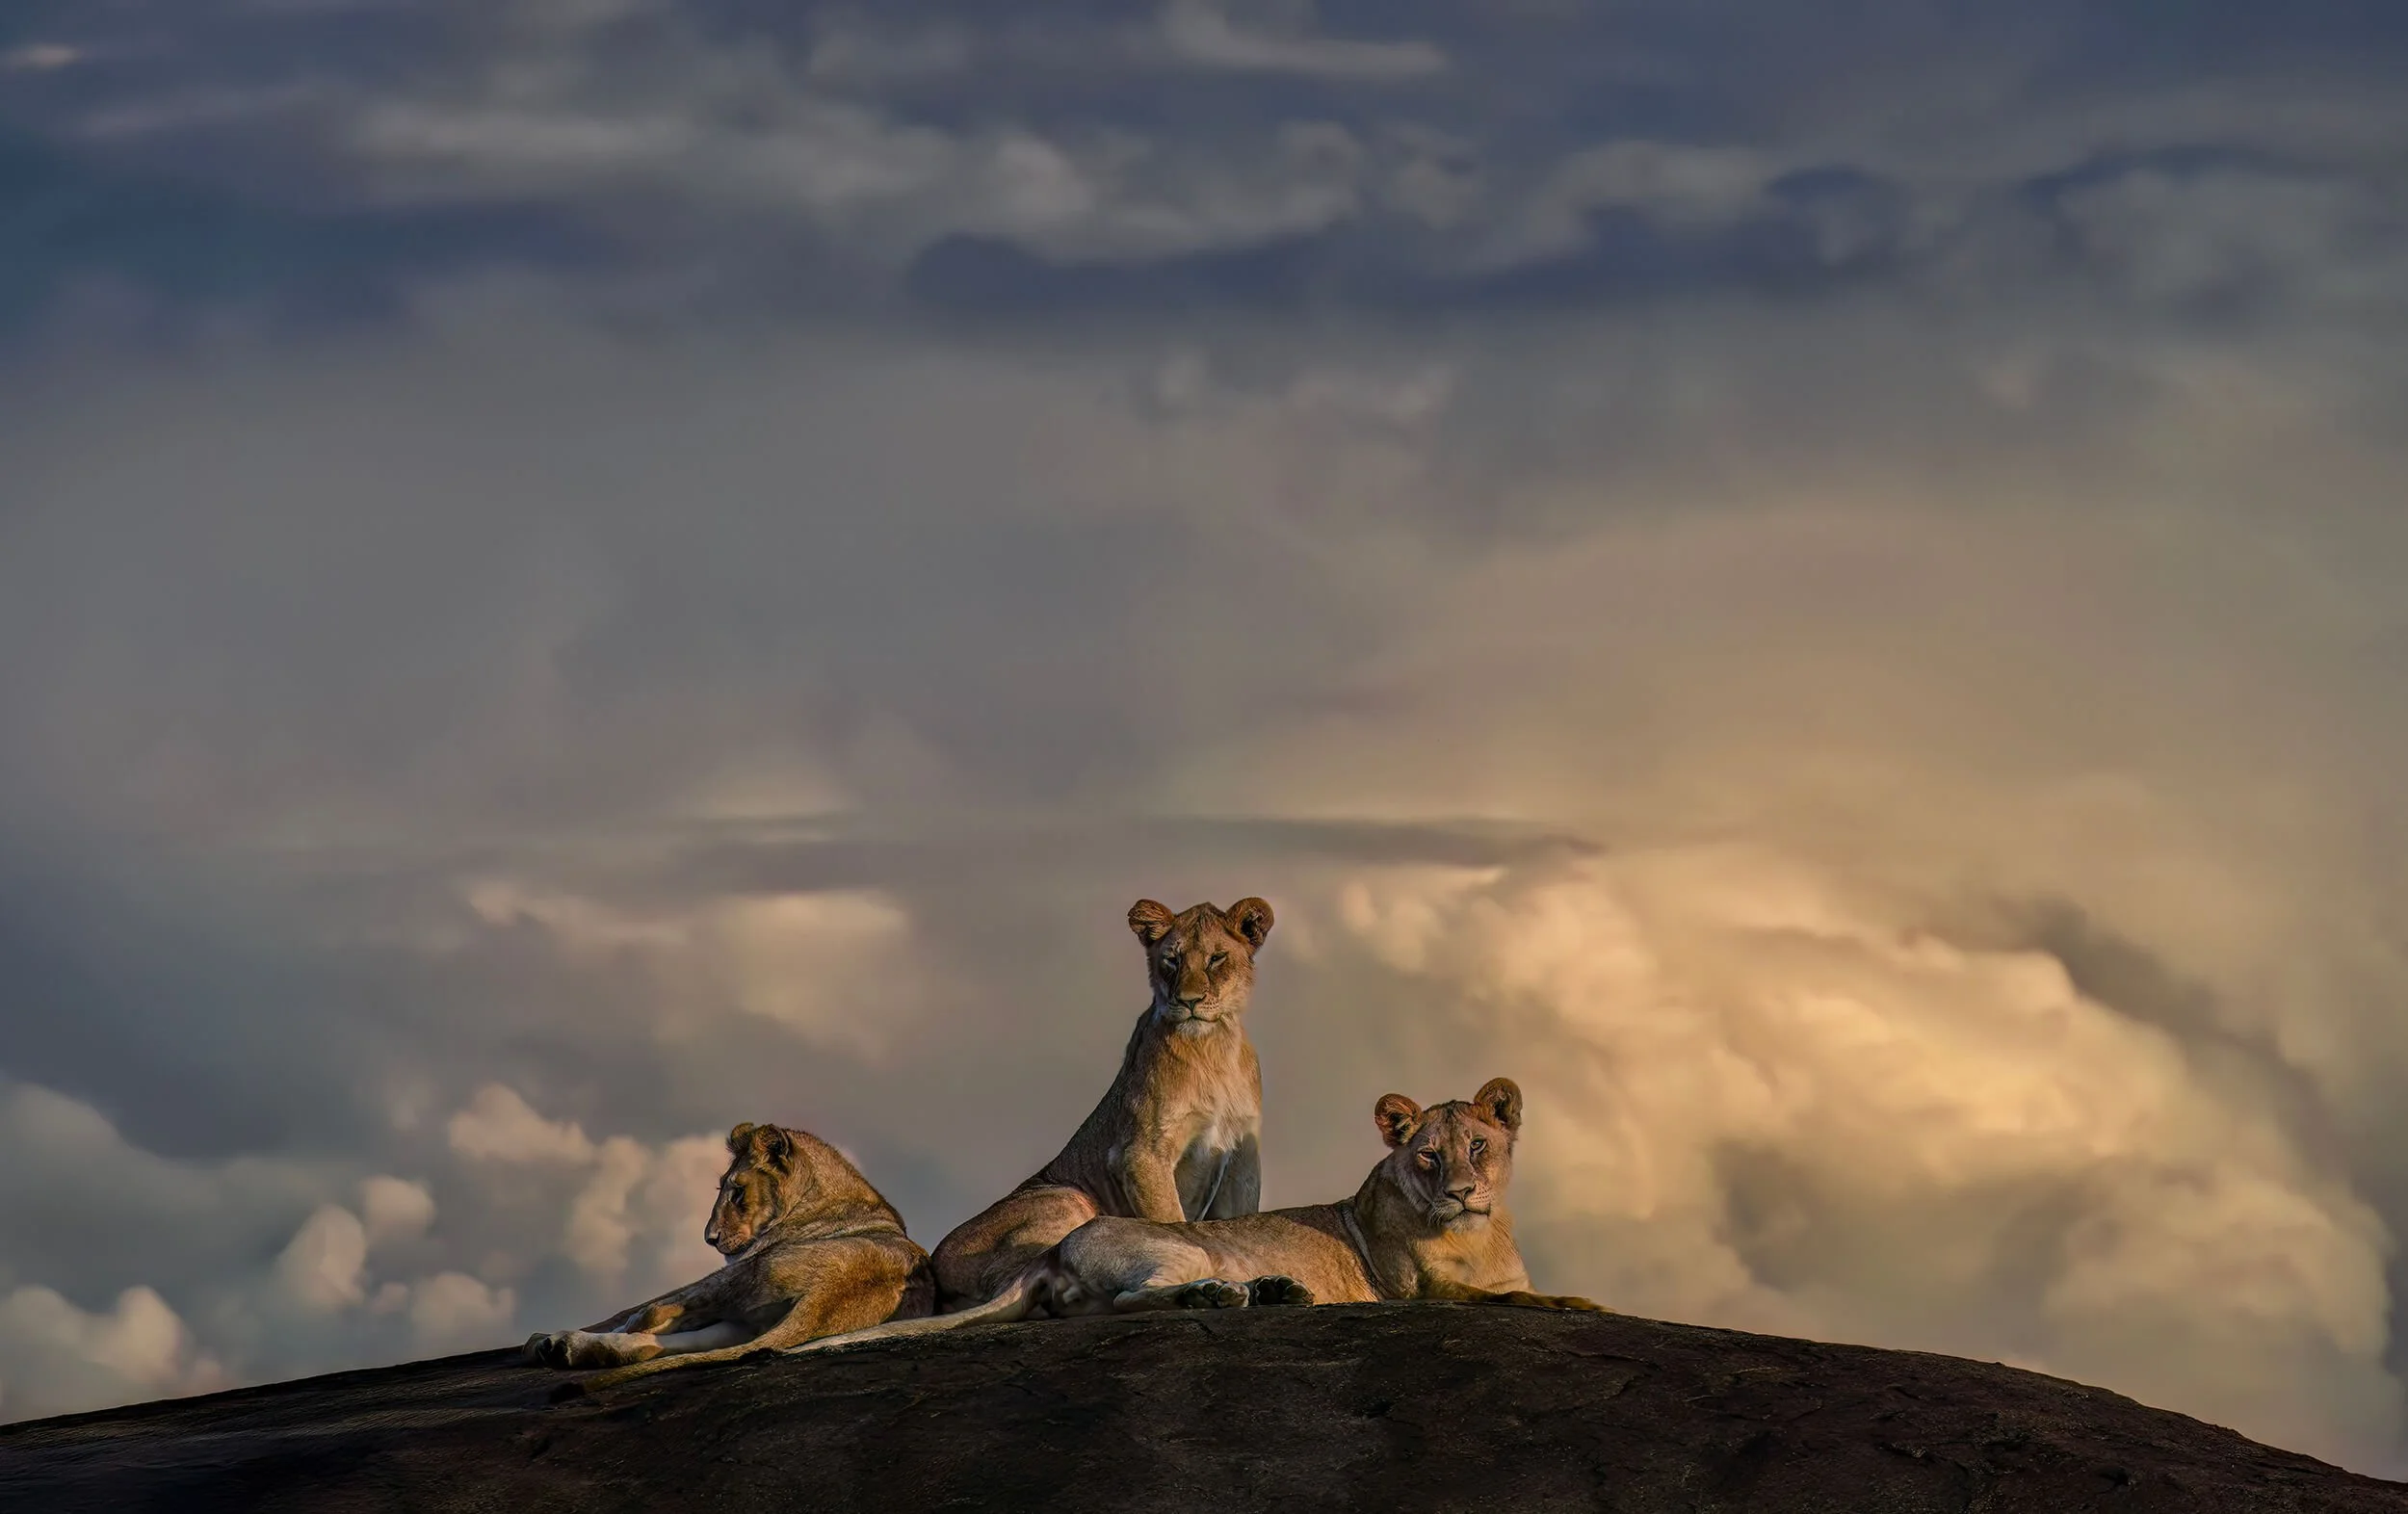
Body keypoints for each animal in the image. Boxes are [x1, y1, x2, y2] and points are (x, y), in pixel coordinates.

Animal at [522, 1120, 933, 1391]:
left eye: (737, 1192)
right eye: (721, 1188)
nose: (710, 1238)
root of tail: (831, 1294)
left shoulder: (731, 1269)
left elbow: (636, 1309)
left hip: (739, 1278)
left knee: (651, 1320)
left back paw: (556, 1342)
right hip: (749, 1323)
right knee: (657, 1346)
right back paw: (566, 1348)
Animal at [793, 1076, 1602, 1355]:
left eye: (1478, 1145)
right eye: (1430, 1156)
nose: (1462, 1190)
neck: (1477, 1233)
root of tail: (1050, 1255)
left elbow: (1519, 1290)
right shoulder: (1416, 1291)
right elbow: (1521, 1299)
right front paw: (1581, 1303)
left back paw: (1275, 1291)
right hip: (1178, 1250)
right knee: (1134, 1300)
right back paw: (1225, 1296)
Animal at [926, 897, 1277, 1311]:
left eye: (1216, 958)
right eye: (1171, 960)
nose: (1187, 1001)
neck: (1213, 1046)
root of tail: (936, 1269)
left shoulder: (1241, 1155)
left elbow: (1239, 1218)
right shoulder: (1140, 1153)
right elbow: (1171, 1220)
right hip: (1067, 1197)